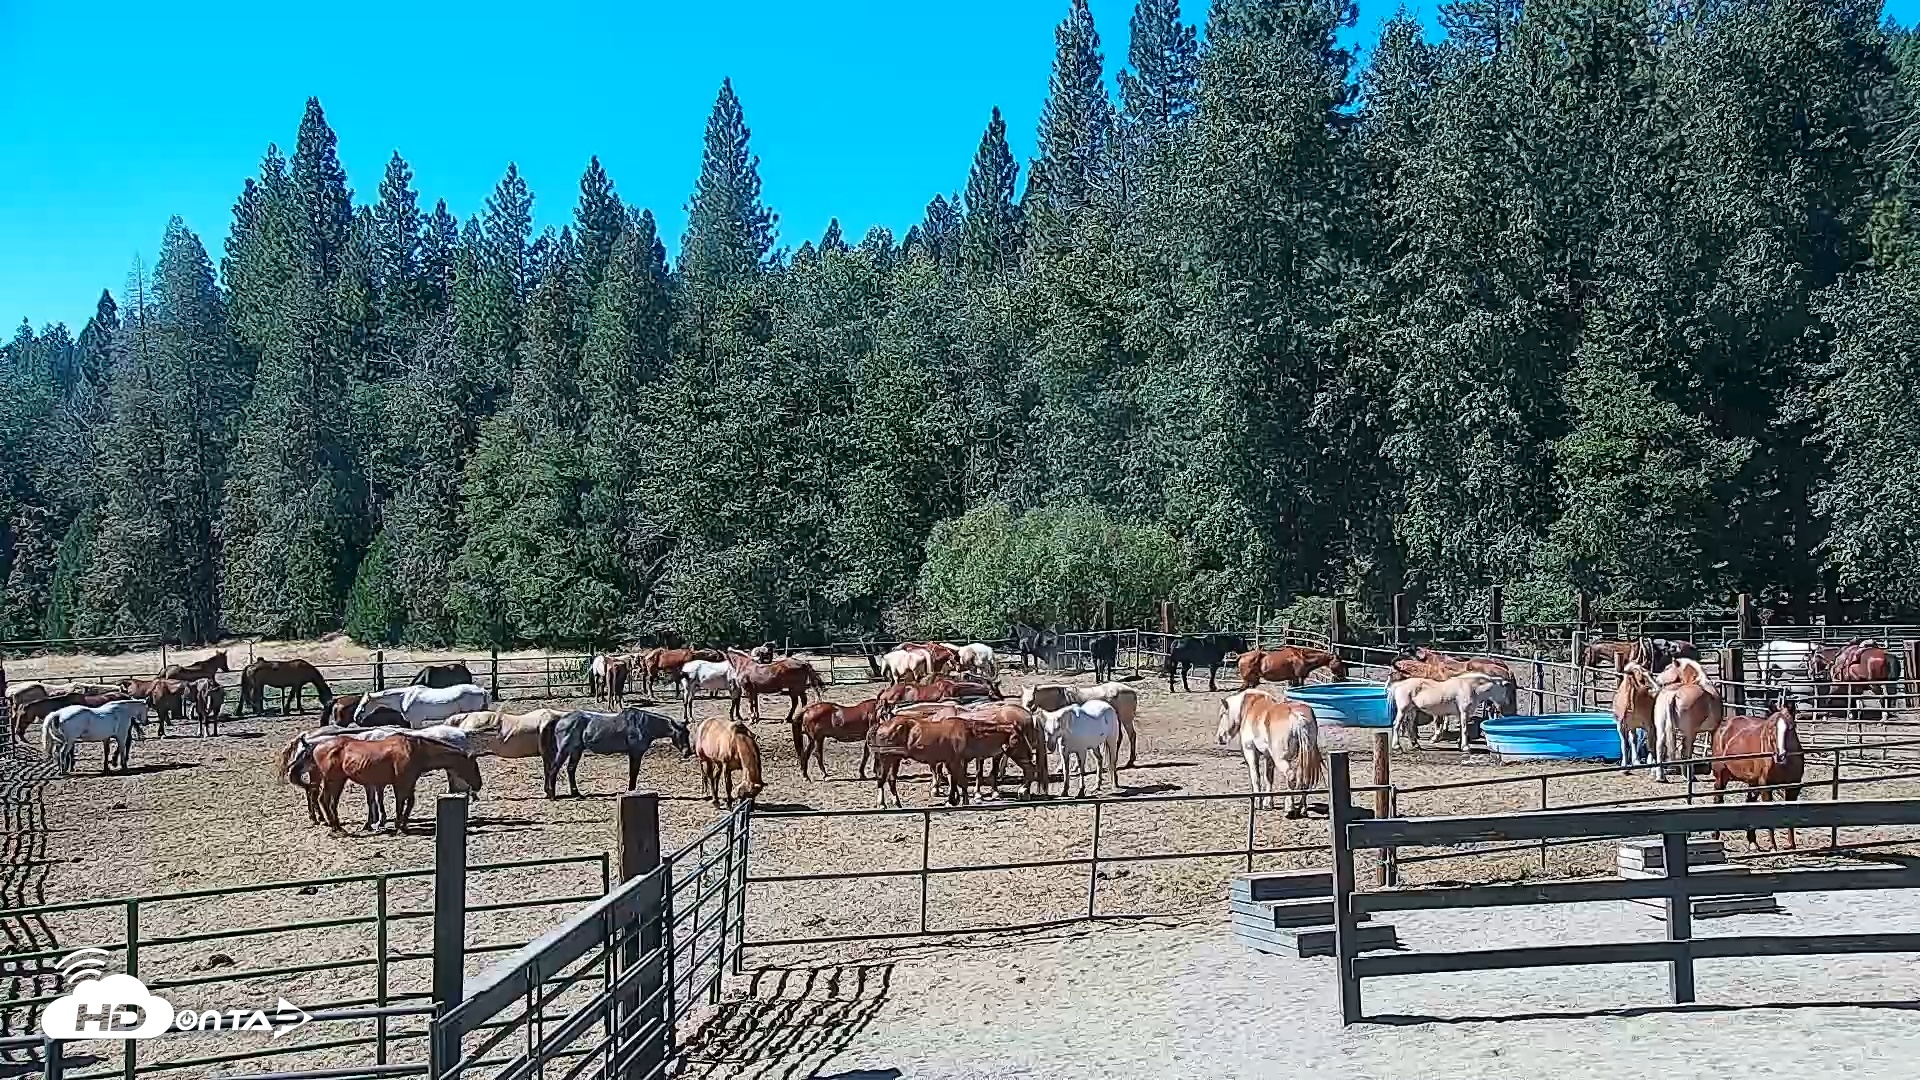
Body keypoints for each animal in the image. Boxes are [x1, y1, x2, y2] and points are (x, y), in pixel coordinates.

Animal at [310, 734, 482, 833]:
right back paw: (336, 827)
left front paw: (403, 824)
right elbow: (400, 803)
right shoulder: (401, 783)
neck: (415, 750)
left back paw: (336, 826)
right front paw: (399, 825)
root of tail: (317, 747)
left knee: (328, 801)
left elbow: (410, 802)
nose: (479, 785)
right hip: (333, 780)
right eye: (473, 766)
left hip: (337, 780)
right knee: (326, 800)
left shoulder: (409, 782)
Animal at [542, 707, 690, 798]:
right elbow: (633, 773)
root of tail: (561, 719)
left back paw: (576, 794)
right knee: (554, 769)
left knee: (570, 770)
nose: (687, 752)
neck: (642, 724)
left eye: (688, 733)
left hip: (576, 750)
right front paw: (631, 791)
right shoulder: (635, 753)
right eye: (682, 734)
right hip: (564, 750)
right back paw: (552, 795)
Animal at [1710, 704, 1806, 850]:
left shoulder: (1793, 787)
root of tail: (1724, 725)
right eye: (1771, 728)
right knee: (1718, 798)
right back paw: (1715, 837)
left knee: (1749, 803)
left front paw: (1792, 845)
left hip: (1752, 783)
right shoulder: (1766, 786)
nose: (1780, 756)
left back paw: (1752, 843)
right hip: (1721, 775)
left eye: (1791, 727)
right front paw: (1773, 846)